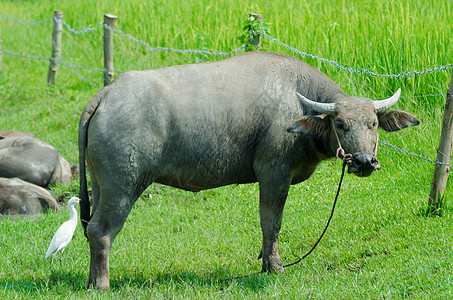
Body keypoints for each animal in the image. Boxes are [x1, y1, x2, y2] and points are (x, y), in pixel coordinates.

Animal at [78, 51, 420, 288]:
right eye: (340, 124)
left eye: (372, 123)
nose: (363, 161)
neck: (300, 109)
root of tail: (106, 95)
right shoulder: (274, 173)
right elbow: (271, 222)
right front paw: (274, 266)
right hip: (123, 186)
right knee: (100, 230)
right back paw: (102, 283)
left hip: (100, 183)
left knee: (92, 228)